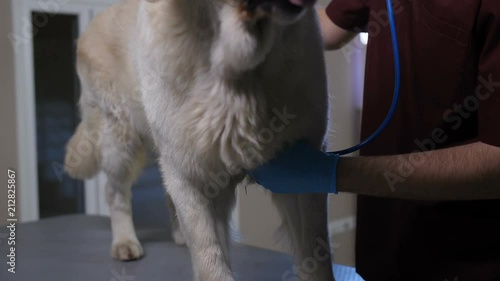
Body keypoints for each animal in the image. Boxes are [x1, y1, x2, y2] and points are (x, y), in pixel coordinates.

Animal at [64, 0, 334, 278]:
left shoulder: (304, 166)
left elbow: (315, 251)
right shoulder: (187, 172)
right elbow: (209, 256)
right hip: (120, 139)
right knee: (115, 192)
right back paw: (125, 242)